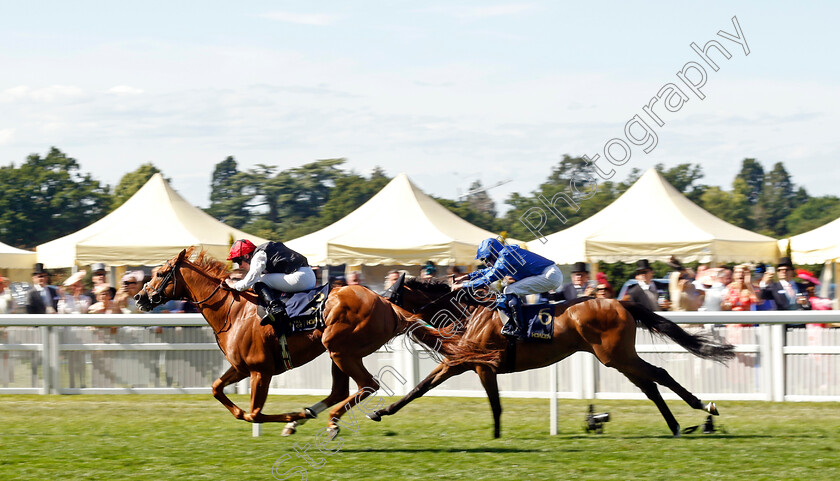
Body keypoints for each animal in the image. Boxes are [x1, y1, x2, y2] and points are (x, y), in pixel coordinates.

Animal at [135, 248, 456, 436]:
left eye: (161, 273)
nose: (139, 297)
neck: (232, 310)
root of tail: (386, 303)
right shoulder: (240, 368)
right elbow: (218, 391)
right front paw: (295, 417)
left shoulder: (260, 370)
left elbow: (254, 414)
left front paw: (293, 416)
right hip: (337, 352)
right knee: (340, 391)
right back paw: (318, 416)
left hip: (341, 349)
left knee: (368, 385)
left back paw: (327, 420)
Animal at [370, 276, 736, 436]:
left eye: (390, 294)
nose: (375, 310)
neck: (469, 314)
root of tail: (619, 302)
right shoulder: (458, 363)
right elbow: (418, 389)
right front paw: (380, 412)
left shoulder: (482, 367)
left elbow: (495, 404)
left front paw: (497, 437)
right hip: (616, 356)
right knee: (649, 385)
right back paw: (676, 425)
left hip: (615, 355)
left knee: (658, 375)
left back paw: (701, 409)